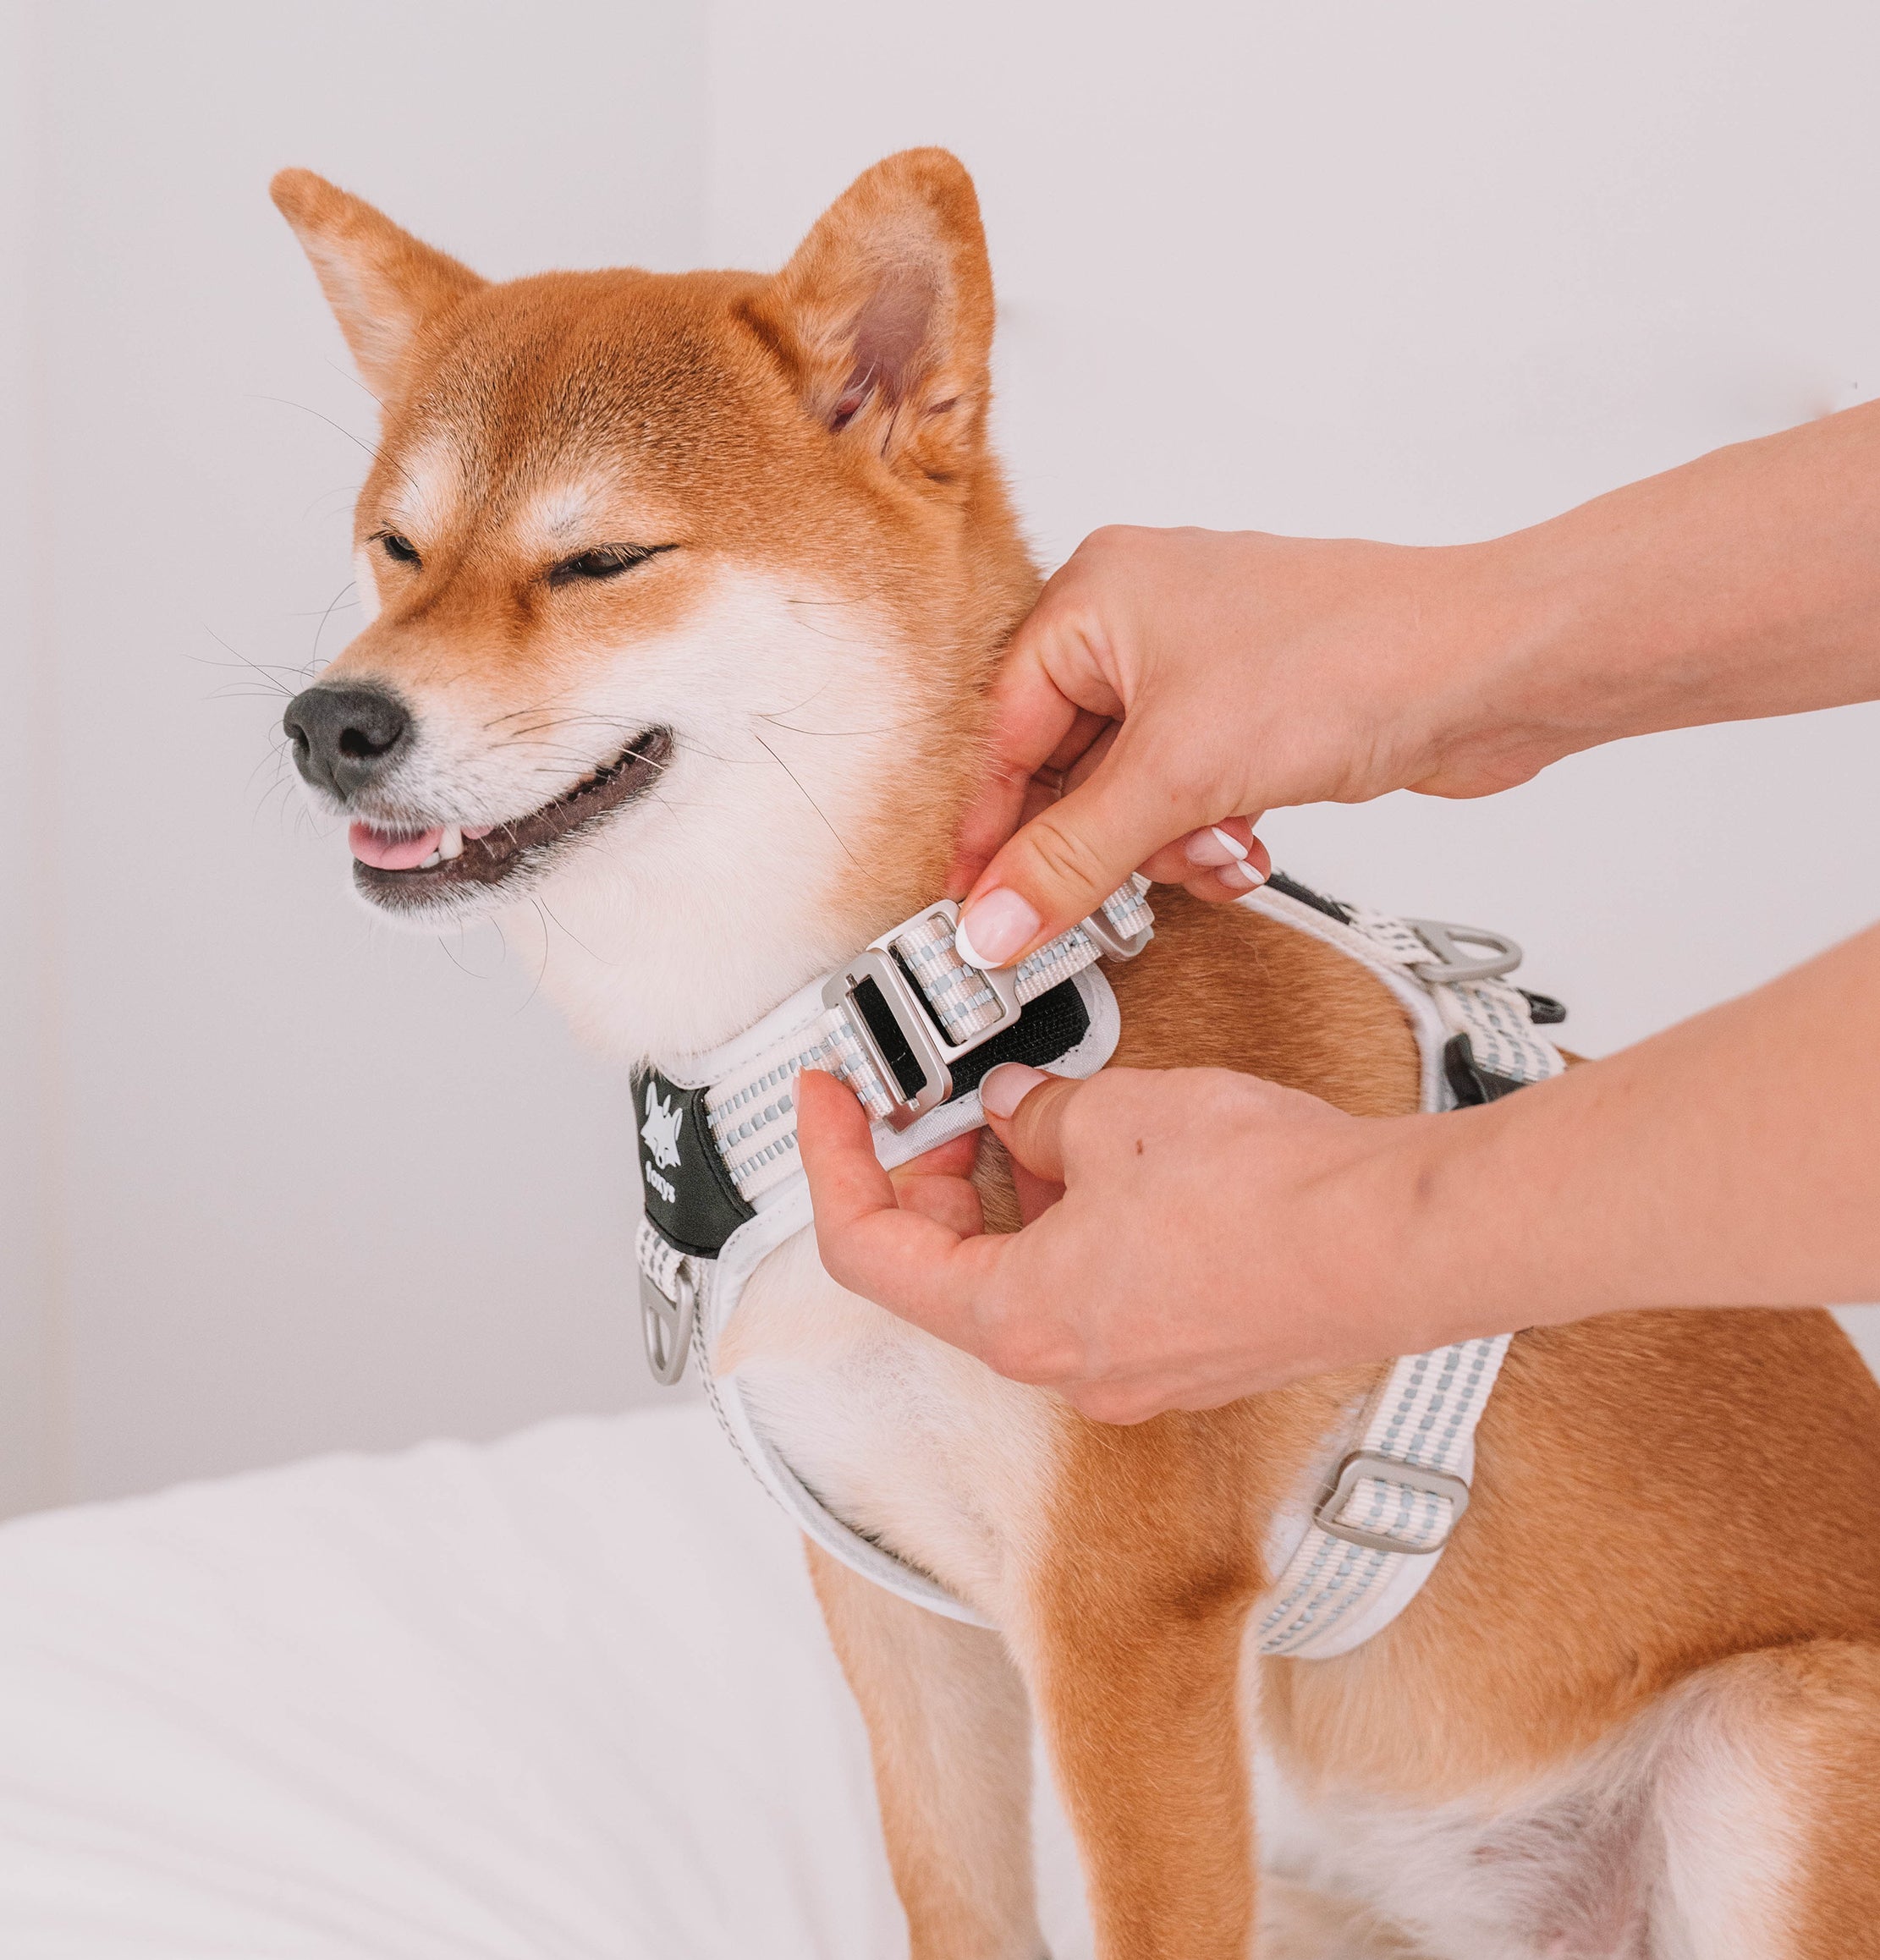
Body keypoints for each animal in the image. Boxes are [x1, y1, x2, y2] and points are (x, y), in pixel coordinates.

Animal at [272, 145, 1880, 1952]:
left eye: (602, 560)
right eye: (397, 548)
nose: (332, 721)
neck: (871, 1016)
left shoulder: (1123, 1622)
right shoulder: (894, 1598)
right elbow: (961, 1901)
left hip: (1771, 1742)